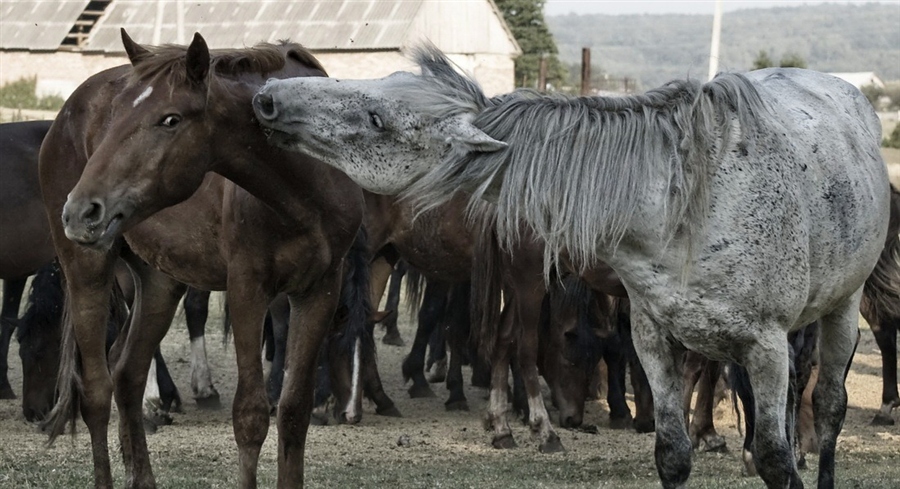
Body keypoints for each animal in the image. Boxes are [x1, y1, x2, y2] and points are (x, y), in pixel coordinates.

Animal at [38, 31, 362, 488]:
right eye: (114, 115)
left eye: (170, 119)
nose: (81, 210)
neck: (307, 189)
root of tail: (63, 115)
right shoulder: (247, 289)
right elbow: (250, 417)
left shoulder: (319, 292)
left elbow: (293, 413)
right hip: (87, 273)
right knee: (97, 393)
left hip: (159, 283)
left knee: (128, 374)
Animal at [253, 46, 892, 488]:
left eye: (377, 117)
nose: (266, 99)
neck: (682, 208)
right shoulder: (655, 338)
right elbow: (673, 451)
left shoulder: (763, 346)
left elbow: (776, 459)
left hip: (842, 308)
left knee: (829, 408)